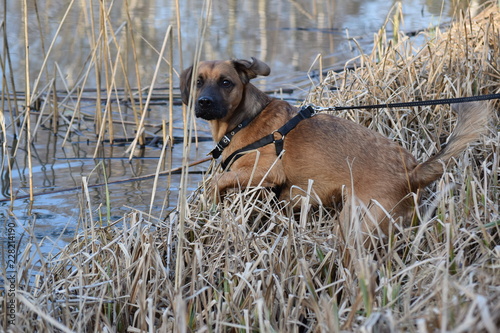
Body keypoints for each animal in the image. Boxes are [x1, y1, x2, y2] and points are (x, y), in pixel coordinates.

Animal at [181, 56, 492, 233]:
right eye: (198, 82)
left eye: (226, 82)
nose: (204, 103)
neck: (245, 119)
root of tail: (410, 171)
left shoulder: (265, 171)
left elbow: (218, 181)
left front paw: (212, 203)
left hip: (355, 225)